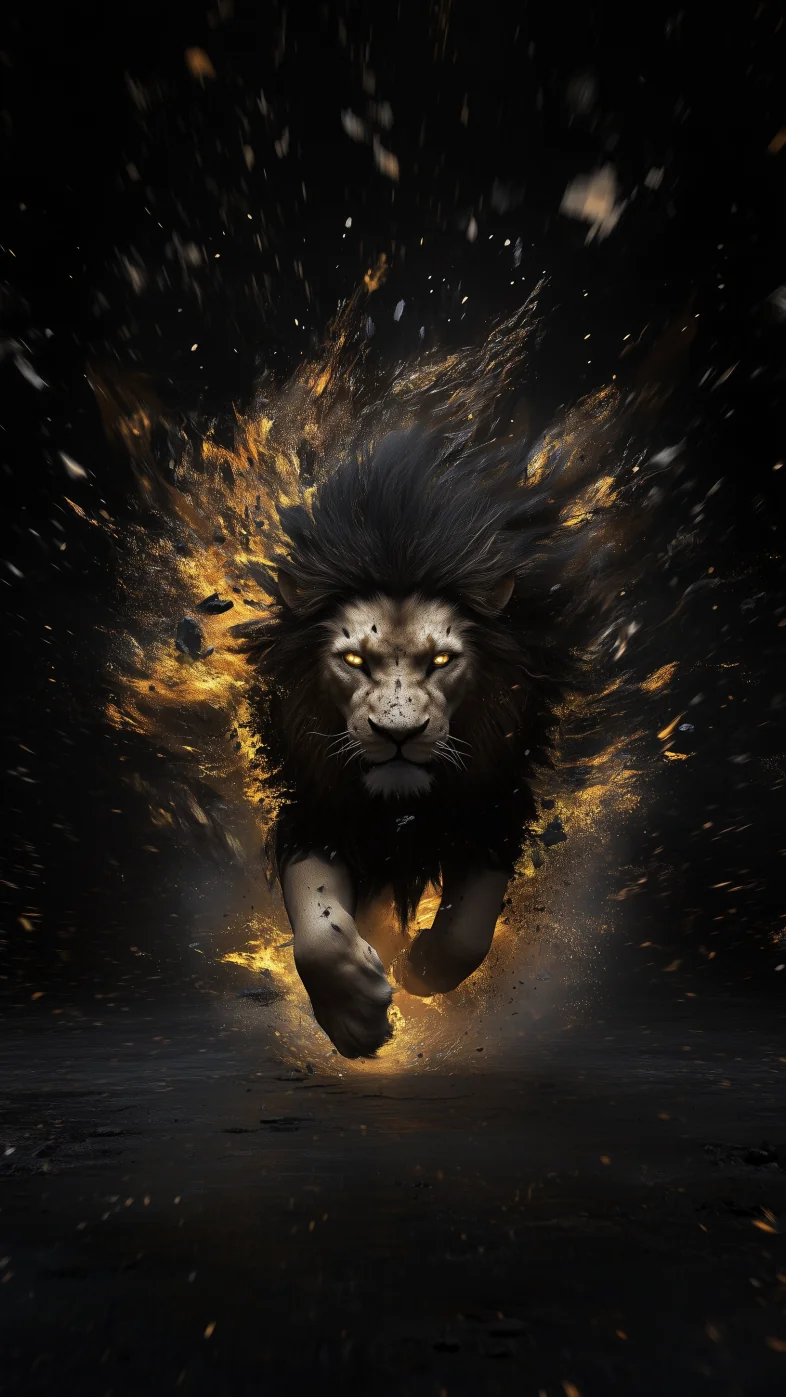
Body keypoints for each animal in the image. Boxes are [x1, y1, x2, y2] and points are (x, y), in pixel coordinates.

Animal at [232, 421, 618, 1060]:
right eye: (354, 660)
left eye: (441, 660)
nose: (398, 734)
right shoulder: (316, 806)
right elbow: (315, 922)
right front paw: (355, 1018)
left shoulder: (495, 804)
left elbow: (471, 924)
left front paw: (421, 969)